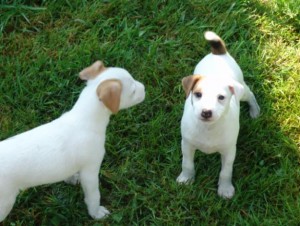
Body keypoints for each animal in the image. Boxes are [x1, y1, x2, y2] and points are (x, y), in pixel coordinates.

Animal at [0, 61, 145, 222]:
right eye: (133, 91)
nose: (145, 88)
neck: (84, 118)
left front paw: (72, 179)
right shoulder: (90, 172)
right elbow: (94, 196)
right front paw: (96, 213)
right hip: (4, 204)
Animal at [176, 31, 260, 198]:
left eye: (221, 97)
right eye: (198, 94)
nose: (206, 112)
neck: (209, 128)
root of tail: (218, 53)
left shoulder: (229, 151)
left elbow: (226, 171)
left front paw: (225, 188)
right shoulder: (187, 144)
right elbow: (187, 164)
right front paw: (186, 178)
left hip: (243, 91)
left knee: (250, 95)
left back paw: (255, 110)